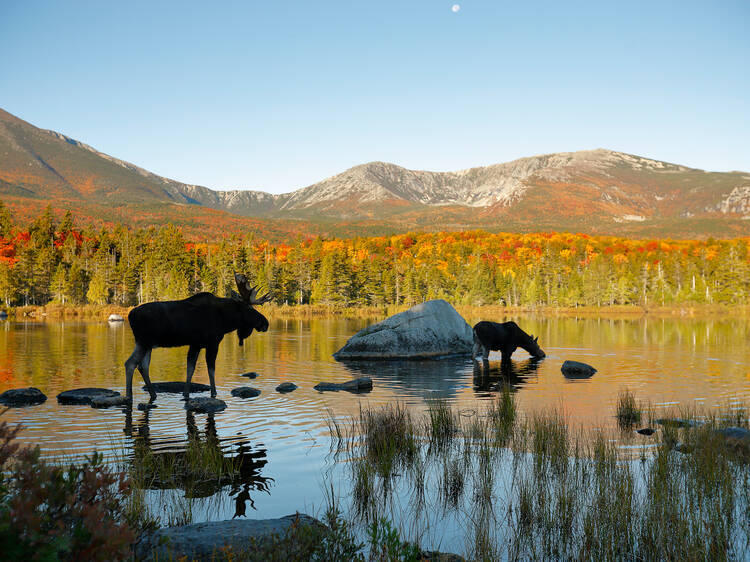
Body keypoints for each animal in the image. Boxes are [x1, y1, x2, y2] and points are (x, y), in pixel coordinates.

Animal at [126, 272, 274, 400]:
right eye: (249, 308)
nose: (265, 323)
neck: (226, 321)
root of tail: (130, 315)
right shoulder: (212, 343)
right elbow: (211, 369)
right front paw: (214, 393)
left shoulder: (195, 344)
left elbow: (190, 369)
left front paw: (186, 394)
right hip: (144, 341)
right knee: (130, 363)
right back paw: (129, 396)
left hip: (147, 344)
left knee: (143, 366)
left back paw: (153, 393)